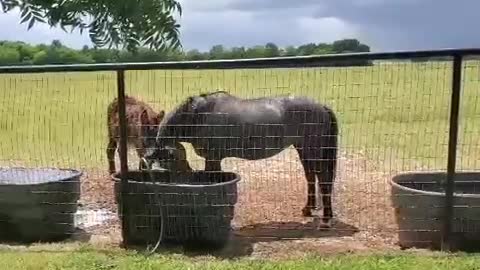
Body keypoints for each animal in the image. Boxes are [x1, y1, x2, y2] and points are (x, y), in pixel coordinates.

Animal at [145, 91, 338, 226]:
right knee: (310, 176)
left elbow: (213, 180)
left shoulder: (213, 158)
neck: (197, 116)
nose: (184, 179)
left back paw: (326, 217)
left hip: (313, 149)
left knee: (323, 178)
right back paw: (308, 209)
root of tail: (322, 106)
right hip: (303, 149)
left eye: (170, 162)